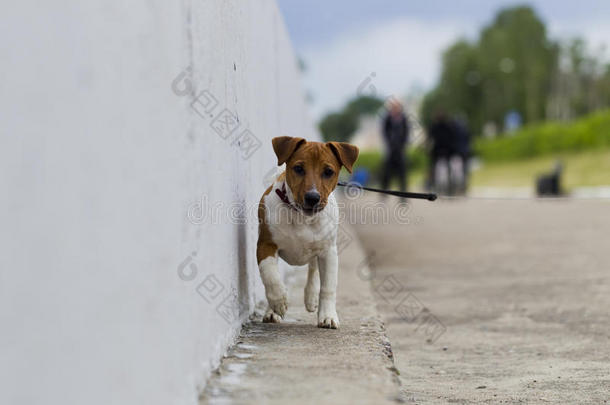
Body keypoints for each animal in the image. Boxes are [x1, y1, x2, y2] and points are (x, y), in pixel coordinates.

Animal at [255, 136, 356, 328]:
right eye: (299, 169)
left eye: (328, 172)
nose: (312, 197)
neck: (301, 216)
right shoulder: (266, 244)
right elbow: (270, 274)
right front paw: (278, 302)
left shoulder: (328, 252)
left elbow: (328, 287)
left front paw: (328, 316)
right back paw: (272, 310)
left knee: (313, 270)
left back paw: (311, 298)